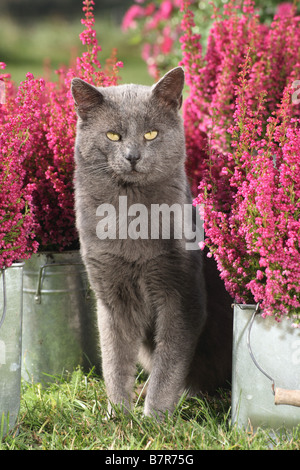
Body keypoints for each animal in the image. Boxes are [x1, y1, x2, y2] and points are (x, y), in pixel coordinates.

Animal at [71, 68, 232, 420]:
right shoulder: (110, 295)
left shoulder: (182, 295)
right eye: (113, 136)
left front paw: (155, 417)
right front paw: (118, 414)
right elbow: (114, 359)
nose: (133, 156)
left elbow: (169, 363)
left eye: (151, 134)